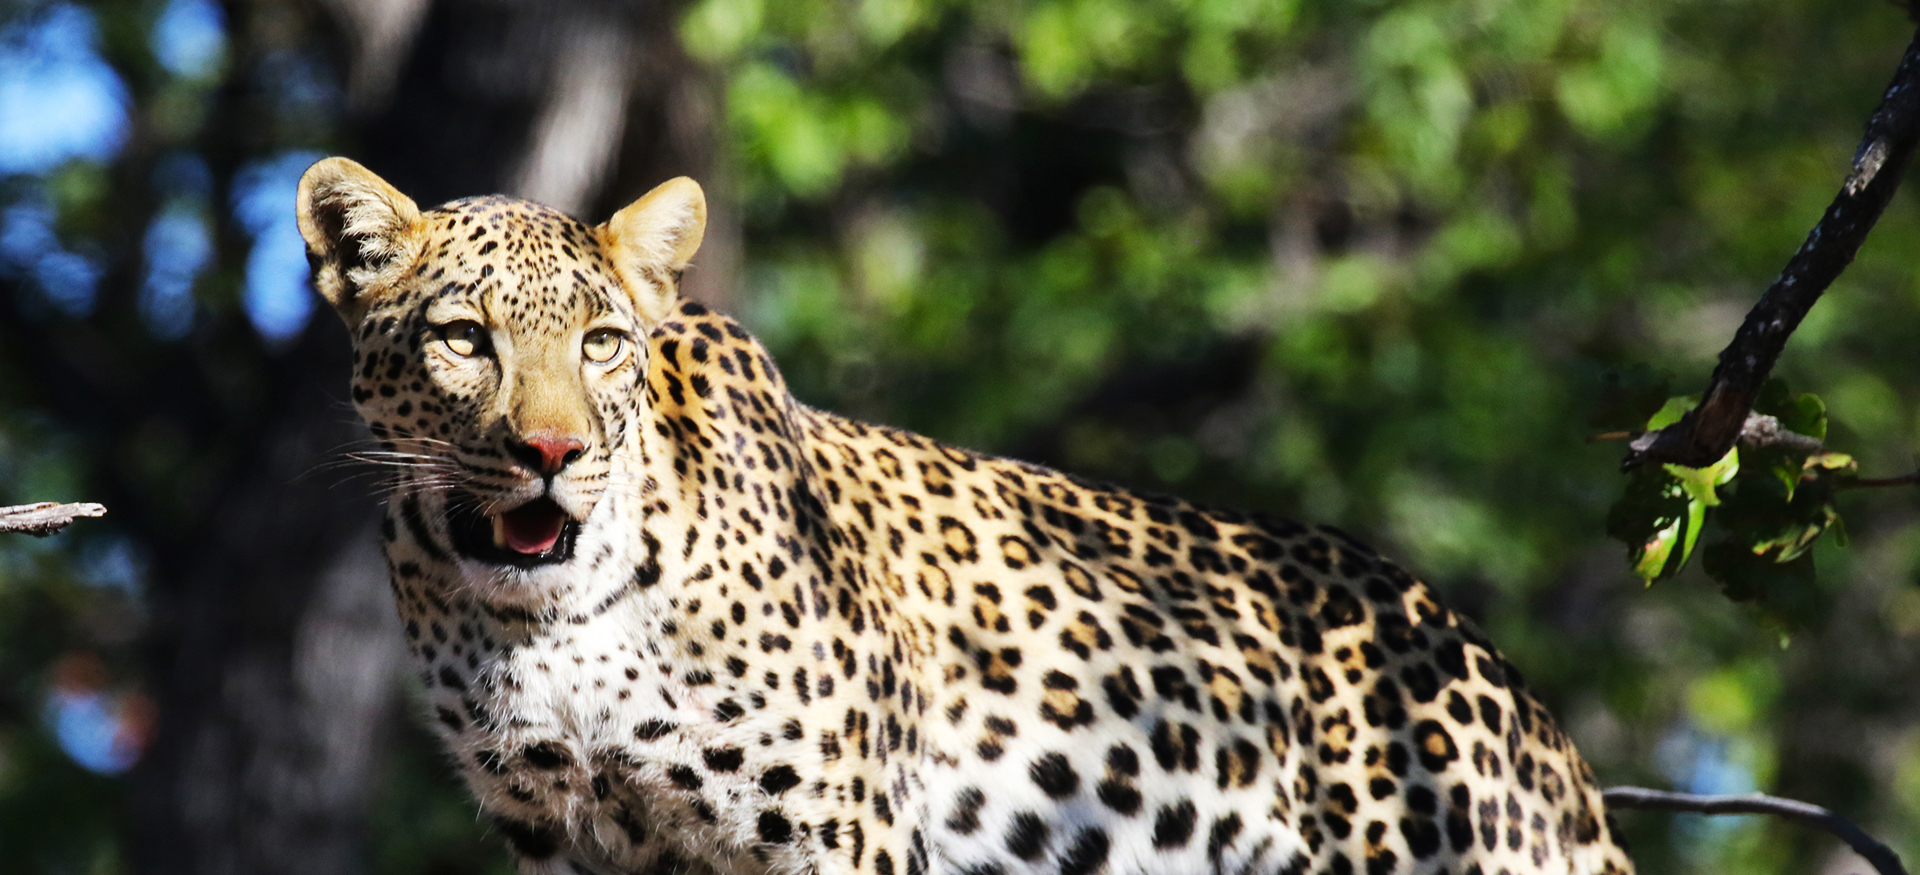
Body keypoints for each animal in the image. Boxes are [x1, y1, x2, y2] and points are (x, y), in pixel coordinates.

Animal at [299, 157, 1635, 875]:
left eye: (603, 345)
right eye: (464, 338)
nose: (551, 452)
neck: (553, 623)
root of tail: (1522, 701)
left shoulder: (836, 834)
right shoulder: (570, 837)